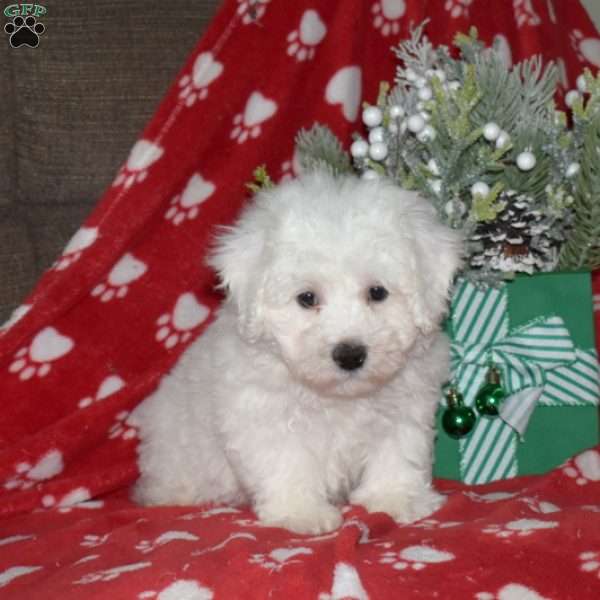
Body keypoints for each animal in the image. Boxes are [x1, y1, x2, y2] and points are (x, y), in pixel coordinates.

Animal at [130, 170, 460, 536]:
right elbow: (287, 462)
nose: (350, 355)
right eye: (307, 298)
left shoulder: (405, 407)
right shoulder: (264, 413)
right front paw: (301, 513)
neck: (340, 398)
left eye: (377, 292)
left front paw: (395, 497)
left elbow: (397, 452)